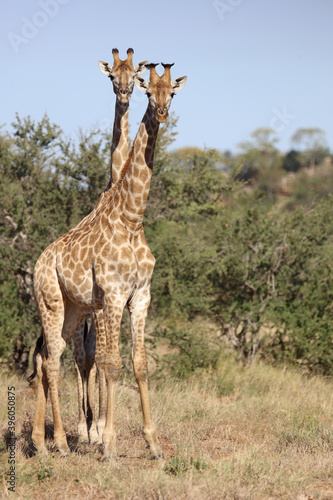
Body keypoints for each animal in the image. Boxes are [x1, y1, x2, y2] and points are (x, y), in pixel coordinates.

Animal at [31, 60, 185, 458]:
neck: (131, 220)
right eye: (149, 91)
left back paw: (43, 441)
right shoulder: (113, 296)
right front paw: (108, 443)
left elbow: (140, 364)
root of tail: (38, 262)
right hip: (51, 303)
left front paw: (154, 444)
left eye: (172, 92)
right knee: (52, 360)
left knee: (48, 356)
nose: (162, 113)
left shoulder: (142, 295)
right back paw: (58, 442)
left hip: (72, 309)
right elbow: (111, 364)